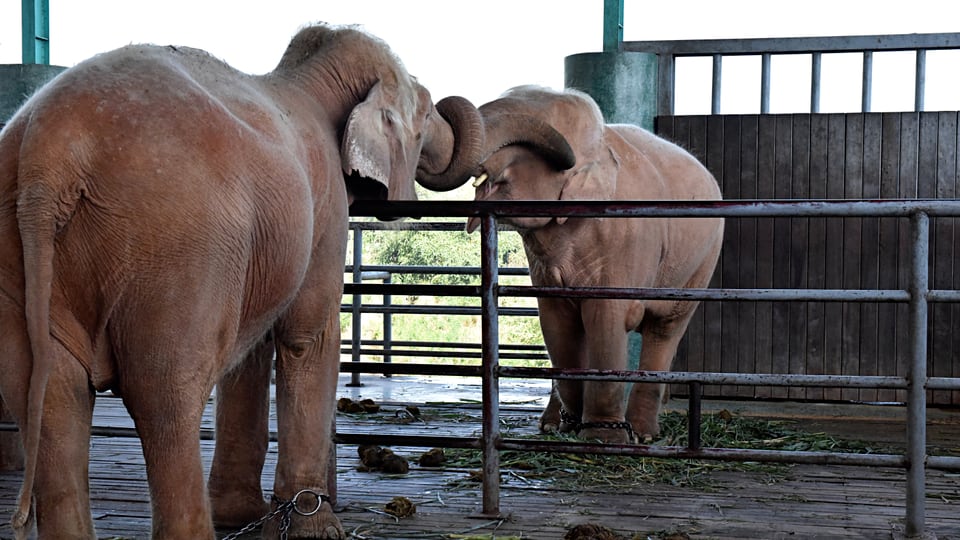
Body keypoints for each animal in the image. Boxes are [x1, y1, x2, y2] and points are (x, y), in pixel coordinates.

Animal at [0, 22, 480, 540]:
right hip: (178, 249)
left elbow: (249, 353)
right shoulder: (326, 206)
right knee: (165, 394)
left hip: (21, 255)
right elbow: (307, 335)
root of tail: (49, 158)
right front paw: (315, 529)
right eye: (427, 110)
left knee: (48, 392)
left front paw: (243, 516)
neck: (307, 80)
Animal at [464, 86, 720, 442]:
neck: (602, 145)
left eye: (524, 147)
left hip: (702, 262)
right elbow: (558, 323)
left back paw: (643, 434)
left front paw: (601, 437)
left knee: (666, 328)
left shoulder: (626, 237)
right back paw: (551, 425)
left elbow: (606, 319)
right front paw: (569, 424)